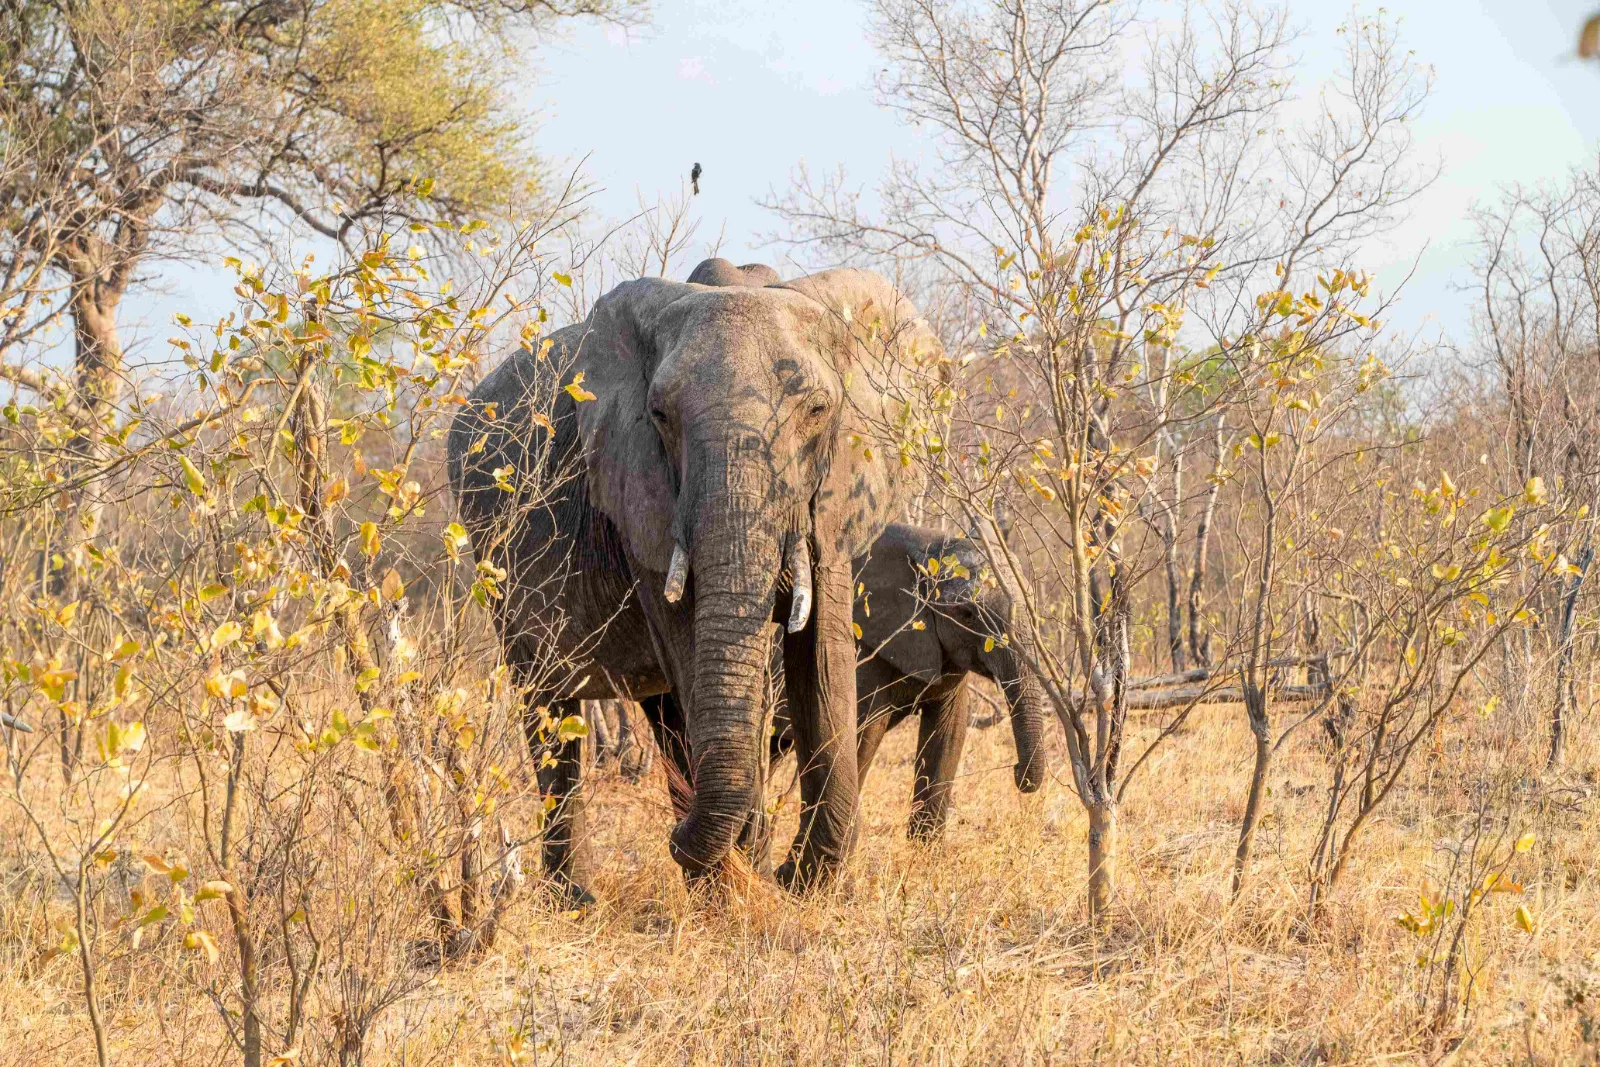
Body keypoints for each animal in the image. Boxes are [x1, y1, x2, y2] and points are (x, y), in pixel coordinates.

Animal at [448, 257, 936, 902]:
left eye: (818, 412)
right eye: (659, 416)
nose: (673, 837)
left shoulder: (834, 493)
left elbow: (824, 656)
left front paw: (794, 885)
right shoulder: (640, 492)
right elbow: (688, 644)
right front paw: (748, 881)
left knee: (659, 709)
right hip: (496, 556)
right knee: (551, 705)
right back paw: (577, 902)